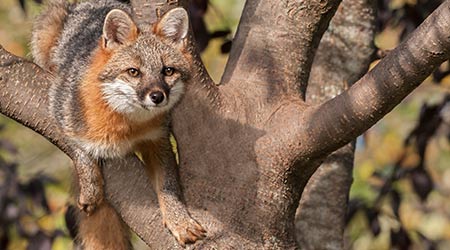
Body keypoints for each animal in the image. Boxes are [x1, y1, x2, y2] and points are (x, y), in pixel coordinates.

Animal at [31, 0, 206, 248]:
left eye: (168, 71)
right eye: (133, 72)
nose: (157, 96)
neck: (126, 126)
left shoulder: (158, 140)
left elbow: (169, 187)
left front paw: (180, 222)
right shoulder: (58, 111)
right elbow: (81, 153)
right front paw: (91, 190)